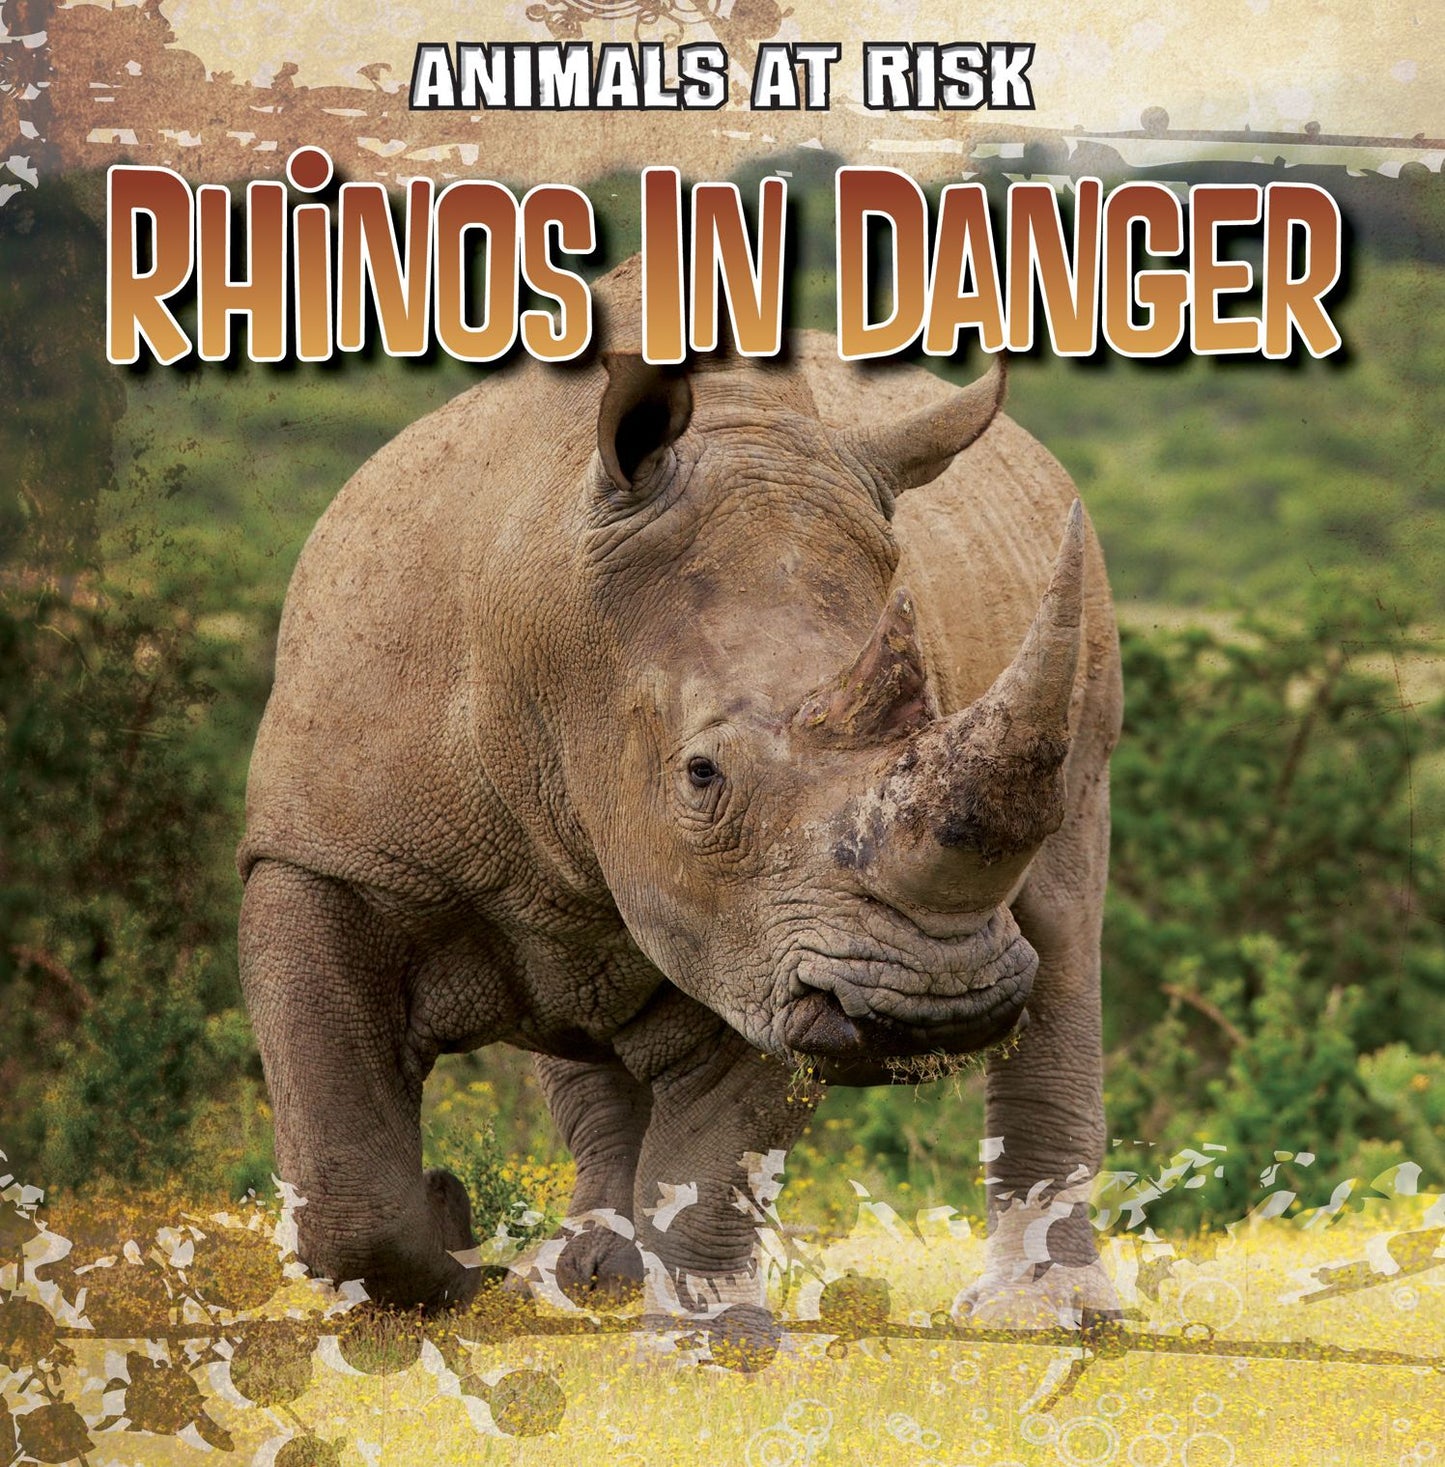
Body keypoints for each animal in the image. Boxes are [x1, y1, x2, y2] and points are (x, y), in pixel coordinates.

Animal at [238, 255, 1123, 1332]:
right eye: (700, 775)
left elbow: (712, 1156)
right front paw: (451, 1257)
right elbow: (342, 1169)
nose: (934, 1009)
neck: (546, 610)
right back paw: (577, 1283)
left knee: (1064, 932)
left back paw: (1043, 1314)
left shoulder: (776, 929)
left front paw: (710, 1339)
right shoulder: (323, 853)